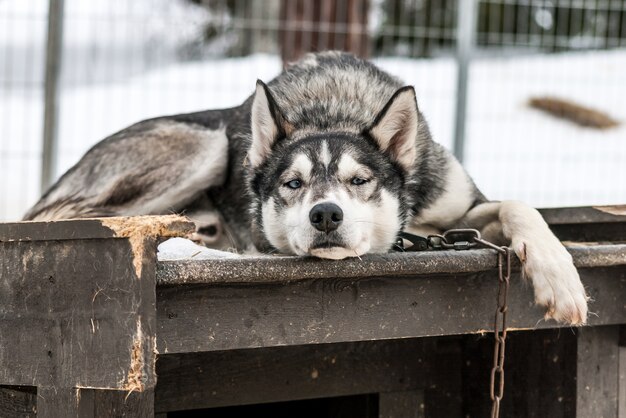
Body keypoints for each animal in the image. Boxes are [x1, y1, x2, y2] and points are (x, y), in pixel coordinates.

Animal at [23, 52, 584, 324]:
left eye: (360, 180)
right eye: (292, 184)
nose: (326, 214)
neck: (333, 110)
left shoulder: (459, 208)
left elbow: (520, 207)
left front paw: (560, 280)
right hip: (206, 145)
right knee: (73, 217)